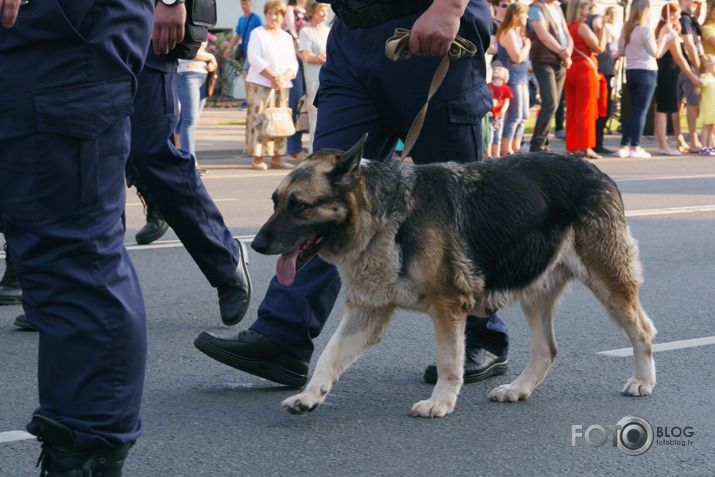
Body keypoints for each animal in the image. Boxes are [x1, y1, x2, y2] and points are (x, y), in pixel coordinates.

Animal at [250, 134, 656, 416]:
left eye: (298, 206)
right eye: (274, 202)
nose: (254, 244)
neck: (389, 214)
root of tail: (595, 170)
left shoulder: (448, 306)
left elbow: (449, 360)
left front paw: (440, 403)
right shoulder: (365, 313)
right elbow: (328, 356)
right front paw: (308, 396)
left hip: (608, 283)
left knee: (641, 330)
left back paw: (643, 380)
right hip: (536, 292)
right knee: (547, 350)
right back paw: (518, 389)